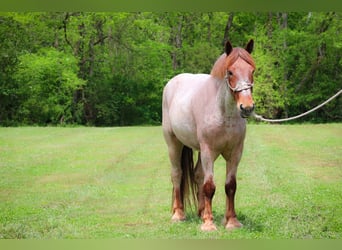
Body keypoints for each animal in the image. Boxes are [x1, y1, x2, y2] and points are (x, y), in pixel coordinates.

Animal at [162, 39, 255, 232]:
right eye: (230, 72)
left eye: (252, 71)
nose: (247, 107)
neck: (223, 113)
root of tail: (172, 83)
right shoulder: (208, 152)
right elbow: (209, 186)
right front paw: (209, 224)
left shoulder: (235, 153)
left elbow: (230, 186)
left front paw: (231, 221)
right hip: (174, 144)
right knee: (177, 175)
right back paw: (178, 214)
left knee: (197, 175)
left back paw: (201, 212)